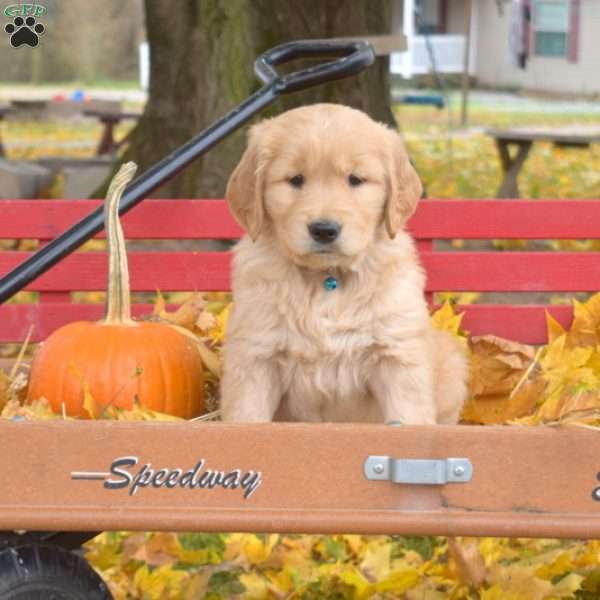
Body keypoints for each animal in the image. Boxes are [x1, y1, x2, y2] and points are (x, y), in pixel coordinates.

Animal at [220, 103, 468, 424]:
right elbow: (247, 416)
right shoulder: (255, 355)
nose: (324, 230)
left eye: (355, 179)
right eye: (295, 179)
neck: (328, 280)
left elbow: (408, 415)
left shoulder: (398, 355)